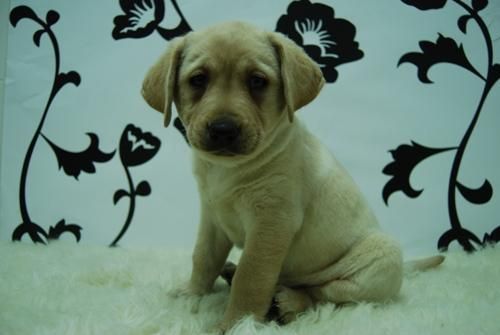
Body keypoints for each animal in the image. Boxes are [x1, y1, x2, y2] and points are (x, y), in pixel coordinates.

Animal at [143, 21, 444, 334]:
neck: (228, 169)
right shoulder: (212, 216)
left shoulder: (271, 223)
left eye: (257, 81)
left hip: (380, 256)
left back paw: (287, 302)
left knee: (323, 294)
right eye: (198, 80)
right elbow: (203, 257)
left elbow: (251, 277)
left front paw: (236, 324)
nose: (223, 129)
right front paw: (192, 293)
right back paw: (231, 272)